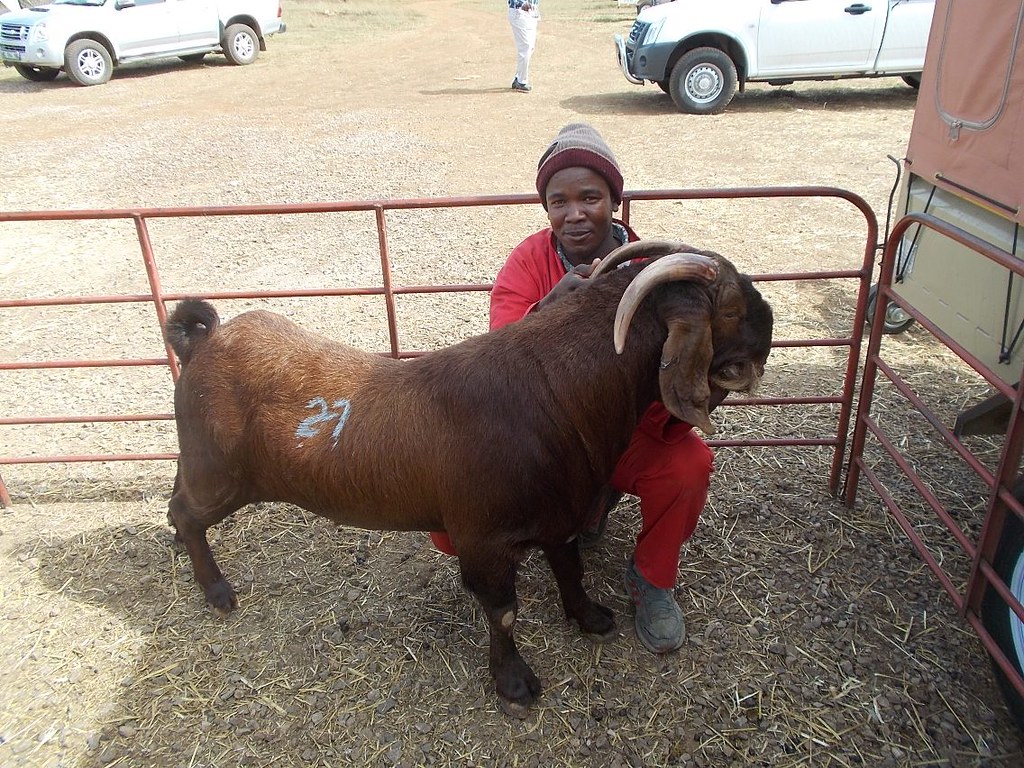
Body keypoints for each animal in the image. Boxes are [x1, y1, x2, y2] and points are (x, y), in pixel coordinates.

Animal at [163, 240, 773, 717]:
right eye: (730, 306)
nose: (769, 328)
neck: (555, 393)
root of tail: (204, 340)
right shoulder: (483, 538)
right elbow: (502, 613)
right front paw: (515, 683)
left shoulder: (561, 512)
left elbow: (570, 568)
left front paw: (590, 617)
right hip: (219, 475)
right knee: (184, 511)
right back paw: (215, 589)